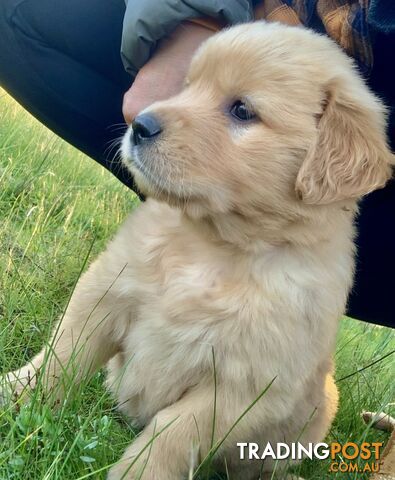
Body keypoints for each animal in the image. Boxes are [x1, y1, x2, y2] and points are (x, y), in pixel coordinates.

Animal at [1, 21, 394, 480]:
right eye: (187, 87)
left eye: (242, 110)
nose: (140, 125)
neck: (217, 245)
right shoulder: (105, 291)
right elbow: (62, 355)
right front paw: (16, 394)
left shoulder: (242, 385)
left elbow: (172, 432)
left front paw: (138, 474)